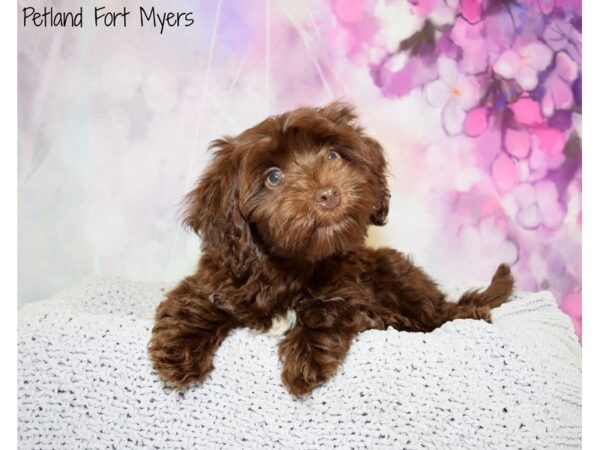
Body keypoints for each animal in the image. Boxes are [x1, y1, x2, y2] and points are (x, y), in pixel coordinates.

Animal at [148, 103, 512, 398]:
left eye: (332, 155)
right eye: (273, 178)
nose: (328, 194)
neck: (291, 265)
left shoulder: (351, 286)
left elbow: (331, 305)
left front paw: (306, 354)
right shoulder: (221, 275)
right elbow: (192, 300)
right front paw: (177, 351)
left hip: (397, 272)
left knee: (438, 311)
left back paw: (466, 312)